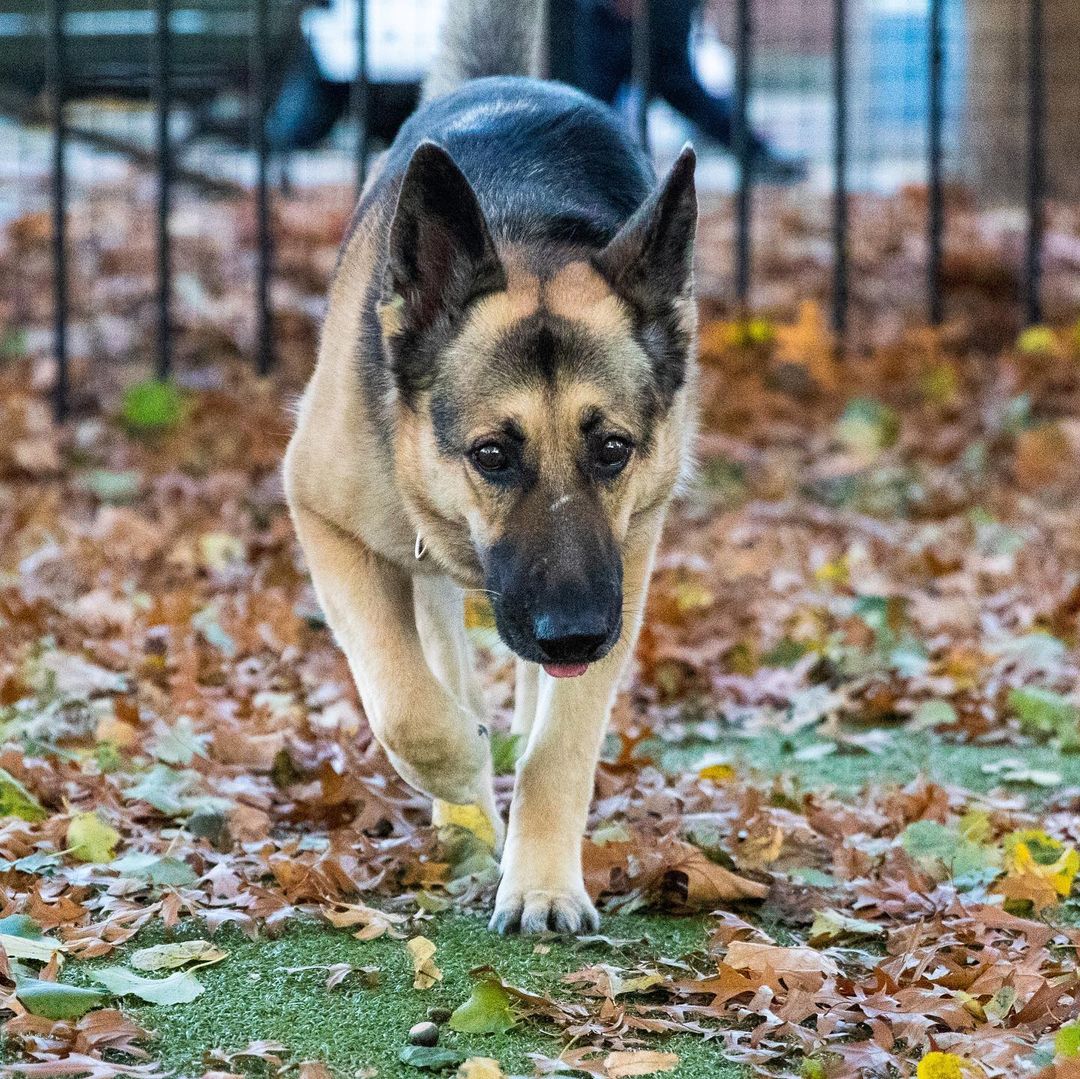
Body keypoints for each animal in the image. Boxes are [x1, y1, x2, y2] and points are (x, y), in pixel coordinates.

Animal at [282, 0, 695, 933]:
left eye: (612, 449)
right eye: (492, 455)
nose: (573, 632)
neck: (527, 230)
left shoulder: (627, 562)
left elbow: (560, 744)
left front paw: (540, 880)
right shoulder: (323, 518)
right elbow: (409, 709)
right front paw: (469, 783)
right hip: (419, 570)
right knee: (440, 661)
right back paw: (462, 813)